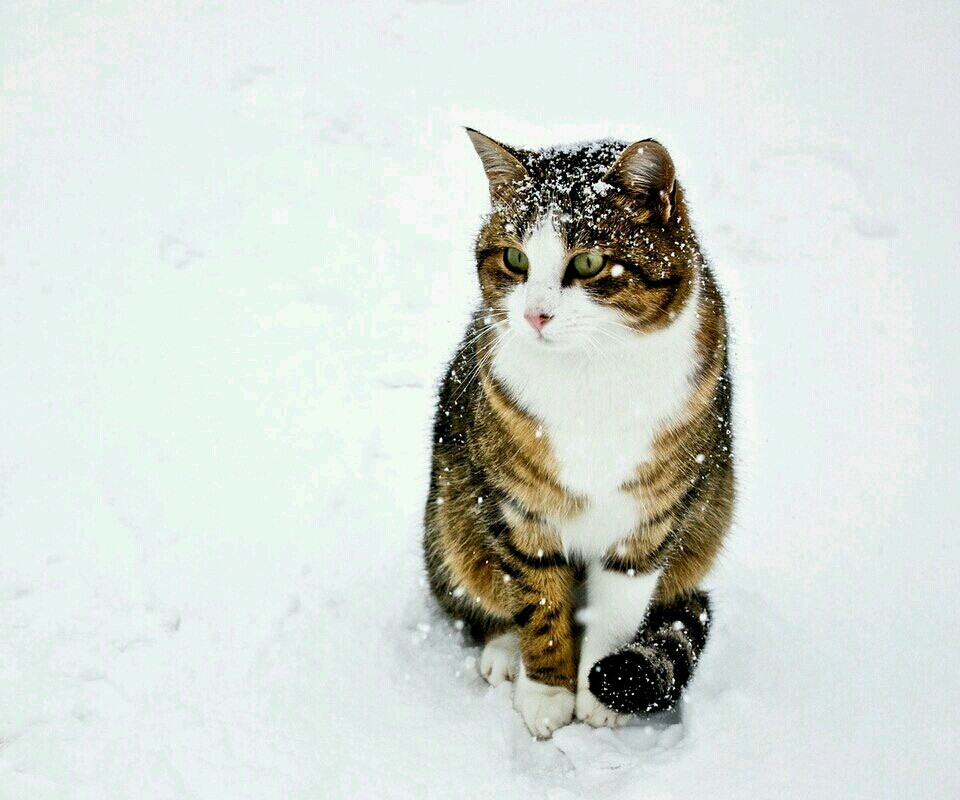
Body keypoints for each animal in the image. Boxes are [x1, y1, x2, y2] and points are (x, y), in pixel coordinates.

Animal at [424, 130, 732, 736]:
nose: (536, 315)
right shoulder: (519, 504)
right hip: (451, 512)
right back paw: (504, 652)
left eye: (589, 261)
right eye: (515, 257)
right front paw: (546, 692)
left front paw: (597, 697)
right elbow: (539, 598)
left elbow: (616, 610)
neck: (592, 374)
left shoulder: (651, 514)